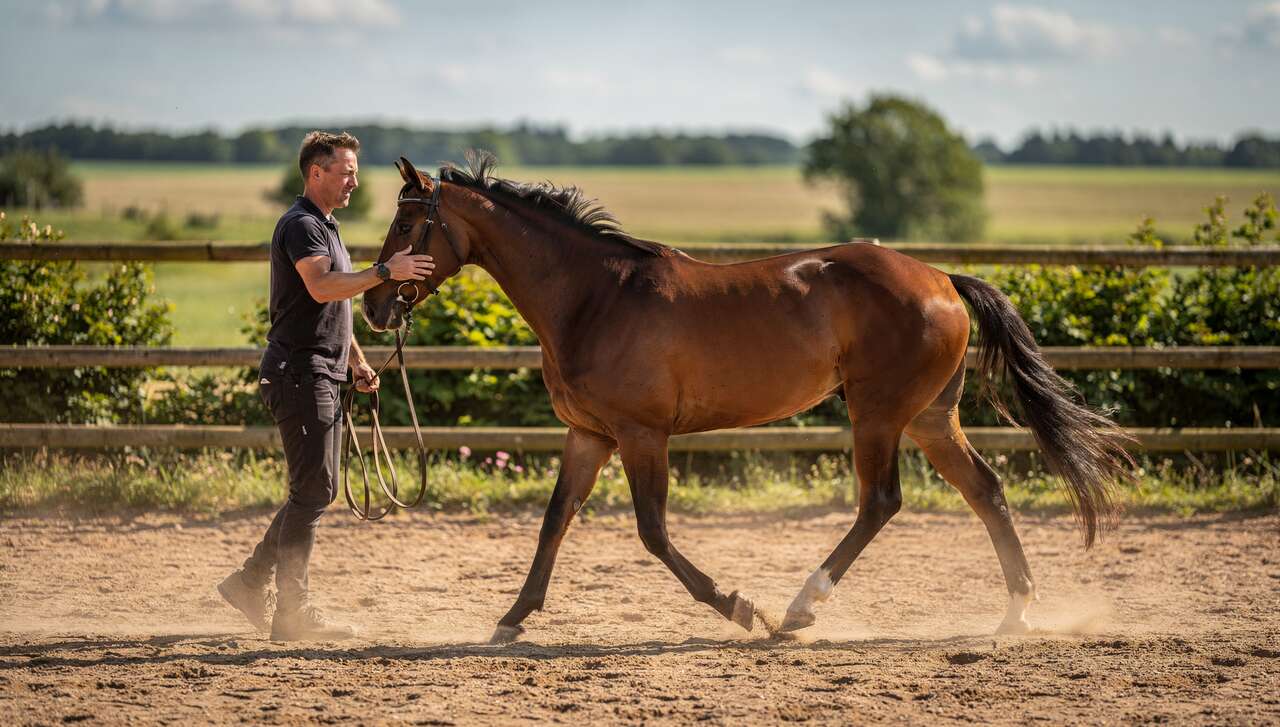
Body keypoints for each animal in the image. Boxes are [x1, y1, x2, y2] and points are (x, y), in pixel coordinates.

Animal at [362, 152, 1133, 644]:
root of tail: (941, 277)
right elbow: (555, 521)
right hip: (930, 417)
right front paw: (511, 618)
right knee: (986, 491)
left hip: (879, 413)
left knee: (881, 502)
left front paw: (737, 605)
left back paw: (796, 610)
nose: (372, 306)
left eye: (405, 226)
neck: (594, 296)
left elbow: (653, 532)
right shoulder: (590, 435)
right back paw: (1015, 614)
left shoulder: (641, 435)